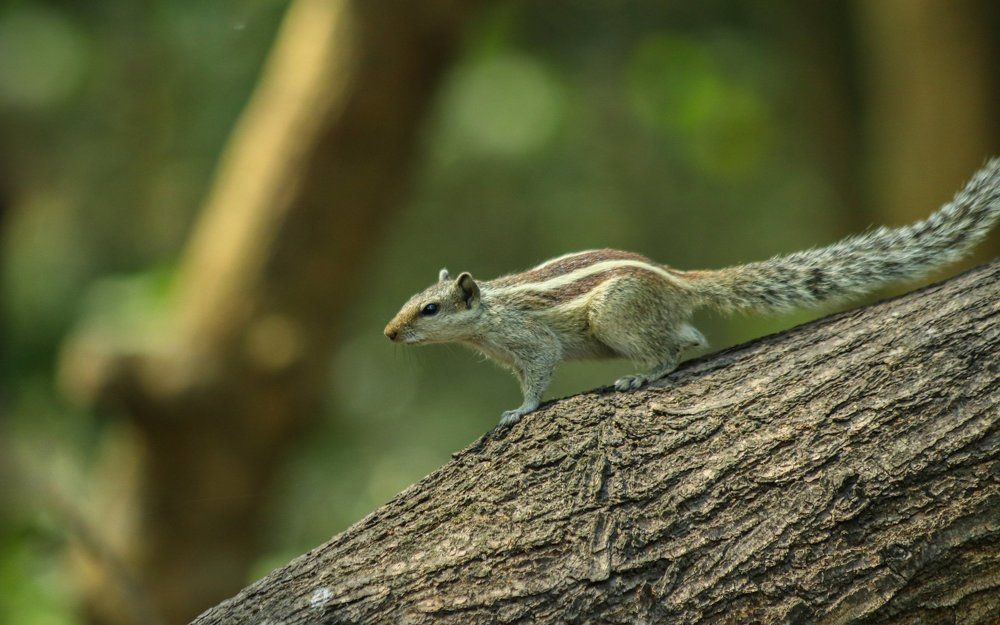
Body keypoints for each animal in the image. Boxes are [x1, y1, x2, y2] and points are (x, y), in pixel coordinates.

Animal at [385, 158, 1000, 428]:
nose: (389, 333)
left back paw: (643, 375)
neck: (487, 318)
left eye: (430, 308)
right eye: (410, 300)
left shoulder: (529, 340)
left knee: (674, 345)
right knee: (691, 336)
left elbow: (538, 374)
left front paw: (521, 410)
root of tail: (677, 281)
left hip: (614, 318)